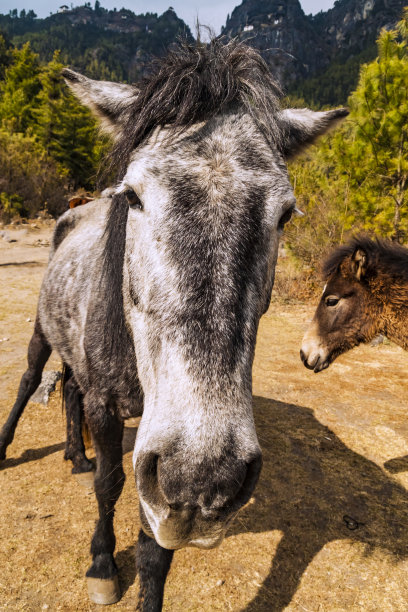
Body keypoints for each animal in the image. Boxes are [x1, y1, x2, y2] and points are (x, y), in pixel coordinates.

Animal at [0, 40, 348, 608]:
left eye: (284, 215)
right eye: (132, 196)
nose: (204, 478)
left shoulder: (155, 457)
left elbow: (155, 542)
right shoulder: (110, 410)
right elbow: (109, 485)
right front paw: (102, 564)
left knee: (69, 388)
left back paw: (75, 453)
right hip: (40, 333)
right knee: (32, 380)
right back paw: (10, 446)